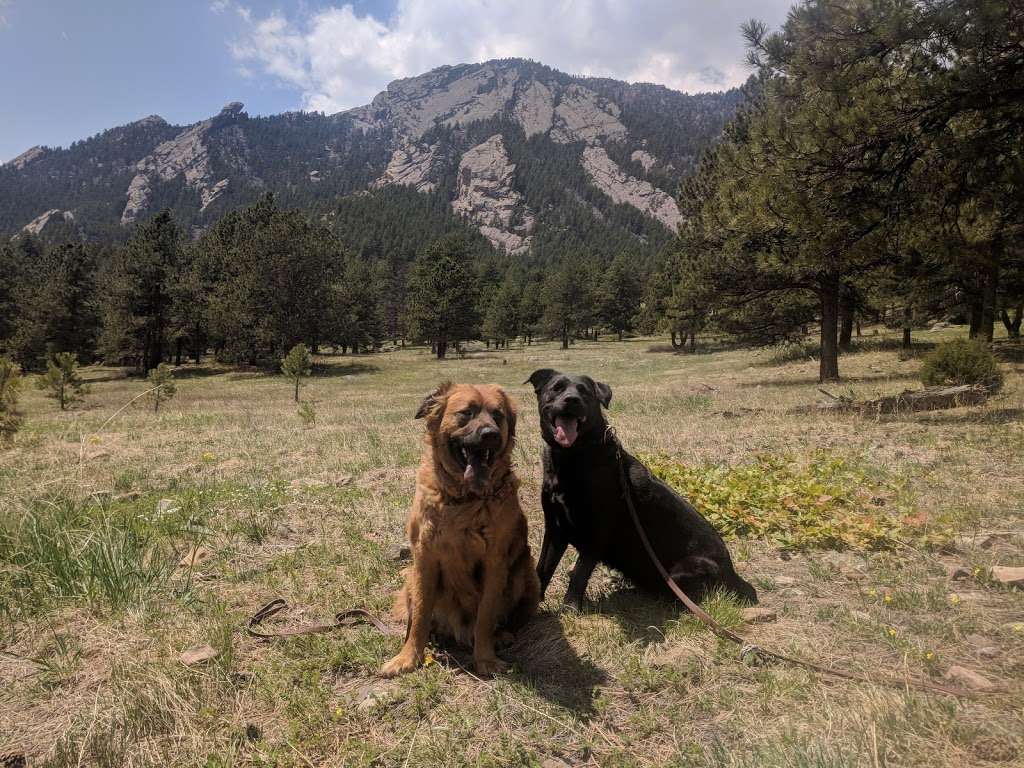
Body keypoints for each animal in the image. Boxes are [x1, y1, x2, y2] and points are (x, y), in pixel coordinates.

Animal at [382, 382, 544, 675]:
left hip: (527, 577)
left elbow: (486, 617)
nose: (490, 435)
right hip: (411, 577)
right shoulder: (424, 559)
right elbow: (419, 615)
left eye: (497, 415)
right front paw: (408, 657)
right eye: (467, 413)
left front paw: (486, 659)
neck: (464, 500)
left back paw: (501, 636)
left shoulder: (495, 563)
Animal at [528, 370, 753, 610]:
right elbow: (543, 568)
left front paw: (570, 608)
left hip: (685, 570)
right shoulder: (555, 529)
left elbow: (579, 574)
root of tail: (734, 574)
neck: (572, 455)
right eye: (557, 388)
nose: (572, 400)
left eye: (584, 391)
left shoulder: (596, 532)